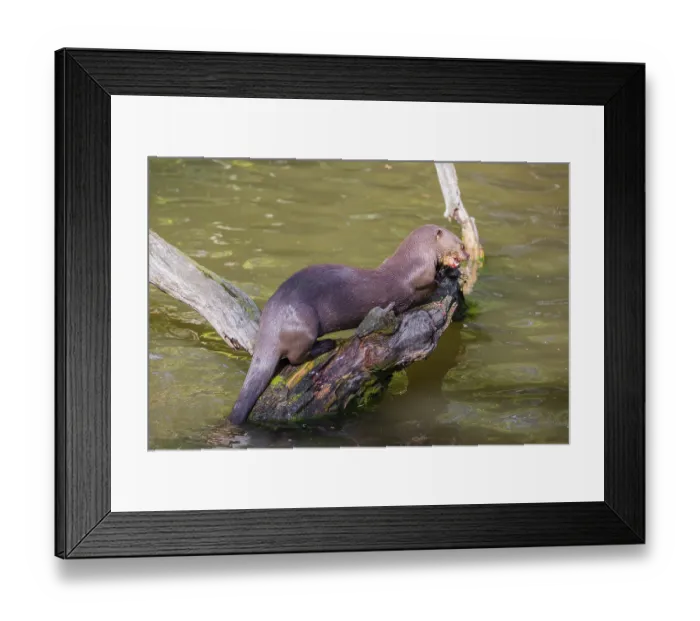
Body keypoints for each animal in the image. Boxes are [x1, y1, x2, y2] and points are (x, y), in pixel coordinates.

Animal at [228, 224, 468, 425]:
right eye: (461, 243)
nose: (466, 255)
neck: (414, 259)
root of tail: (271, 323)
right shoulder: (418, 279)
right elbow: (430, 284)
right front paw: (447, 273)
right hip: (304, 323)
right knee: (295, 357)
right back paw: (327, 344)